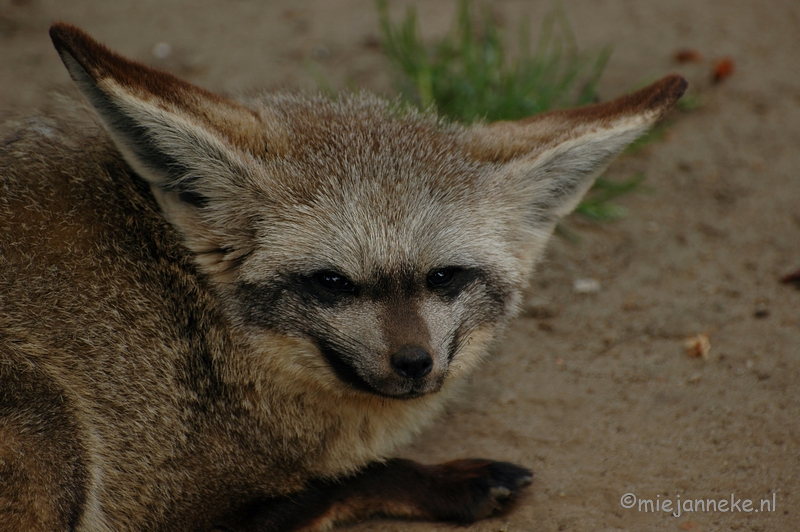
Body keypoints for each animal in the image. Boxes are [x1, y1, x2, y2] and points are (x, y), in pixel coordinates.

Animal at [0, 21, 684, 532]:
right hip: (56, 434)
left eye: (444, 277)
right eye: (332, 282)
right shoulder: (174, 506)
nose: (414, 362)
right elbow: (339, 482)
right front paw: (443, 482)